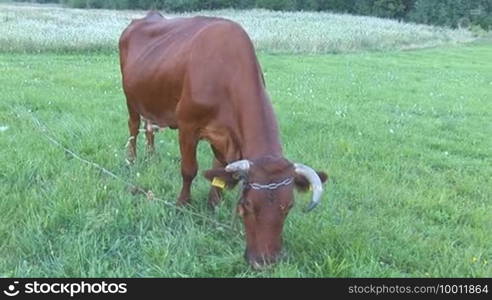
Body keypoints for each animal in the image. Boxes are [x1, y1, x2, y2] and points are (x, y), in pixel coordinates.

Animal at [118, 11, 326, 270]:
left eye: (288, 207)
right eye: (248, 205)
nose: (265, 262)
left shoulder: (223, 136)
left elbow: (220, 170)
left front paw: (214, 203)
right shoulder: (187, 126)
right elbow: (189, 170)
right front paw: (182, 204)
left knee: (150, 127)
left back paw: (152, 156)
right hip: (130, 97)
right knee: (133, 126)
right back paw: (132, 159)